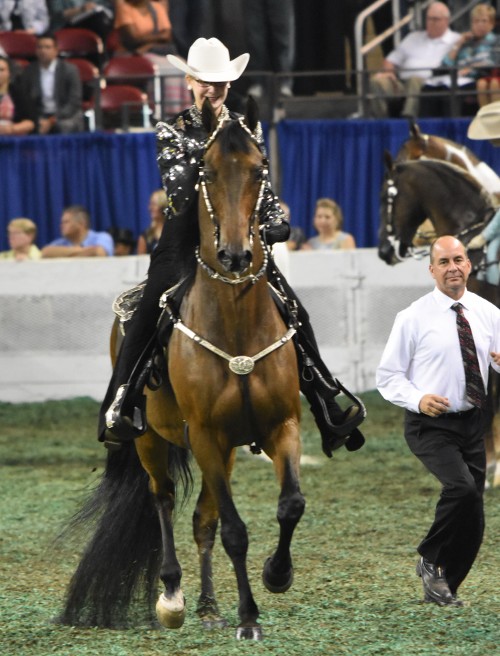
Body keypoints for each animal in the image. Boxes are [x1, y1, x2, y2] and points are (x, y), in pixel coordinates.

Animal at [60, 101, 306, 640]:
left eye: (261, 168)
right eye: (204, 172)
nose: (235, 254)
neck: (236, 329)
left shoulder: (279, 427)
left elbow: (288, 505)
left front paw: (277, 575)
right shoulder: (207, 435)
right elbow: (236, 531)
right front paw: (249, 618)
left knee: (202, 519)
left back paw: (210, 606)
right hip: (151, 440)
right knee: (164, 500)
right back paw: (172, 597)